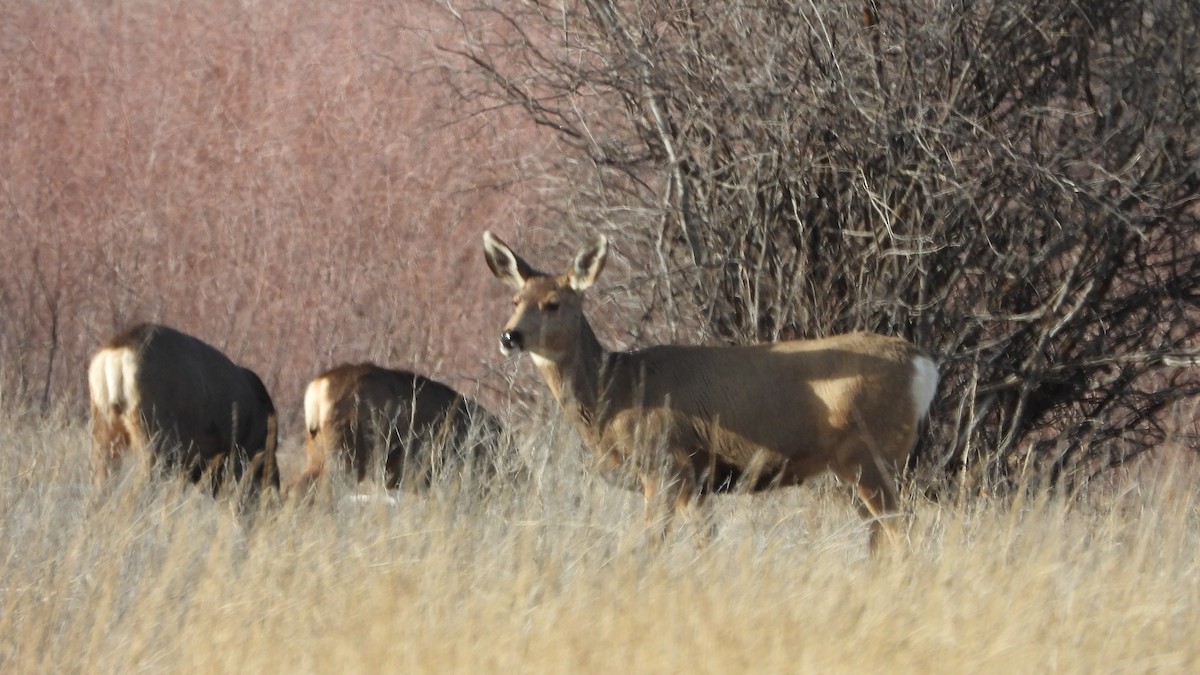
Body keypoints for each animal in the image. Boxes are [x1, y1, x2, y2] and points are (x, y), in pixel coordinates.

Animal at [483, 231, 939, 551]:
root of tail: (924, 366)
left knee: (902, 530)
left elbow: (646, 546)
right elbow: (704, 543)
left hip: (871, 455)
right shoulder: (696, 482)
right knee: (882, 534)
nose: (508, 336)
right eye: (516, 299)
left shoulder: (667, 465)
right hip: (863, 466)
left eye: (554, 303)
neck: (618, 391)